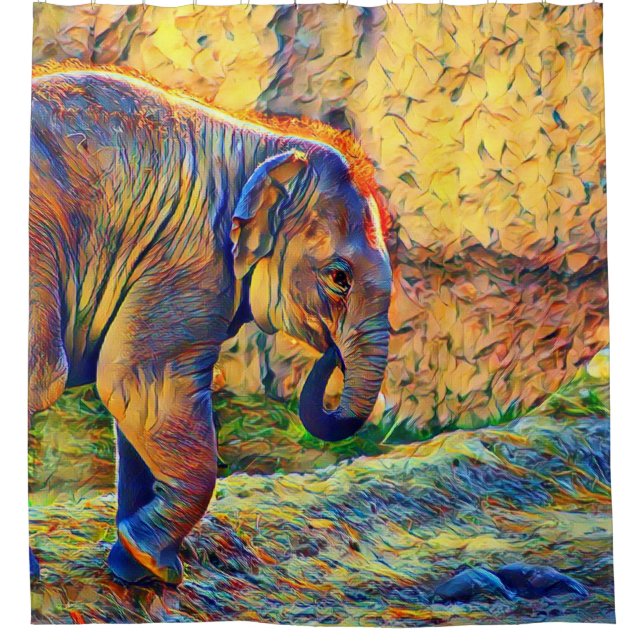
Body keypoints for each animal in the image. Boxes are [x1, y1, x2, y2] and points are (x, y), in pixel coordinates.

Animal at [29, 67, 393, 584]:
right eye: (339, 278)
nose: (331, 354)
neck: (263, 145)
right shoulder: (190, 260)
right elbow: (141, 387)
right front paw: (156, 565)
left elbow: (135, 405)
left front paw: (134, 571)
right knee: (41, 375)